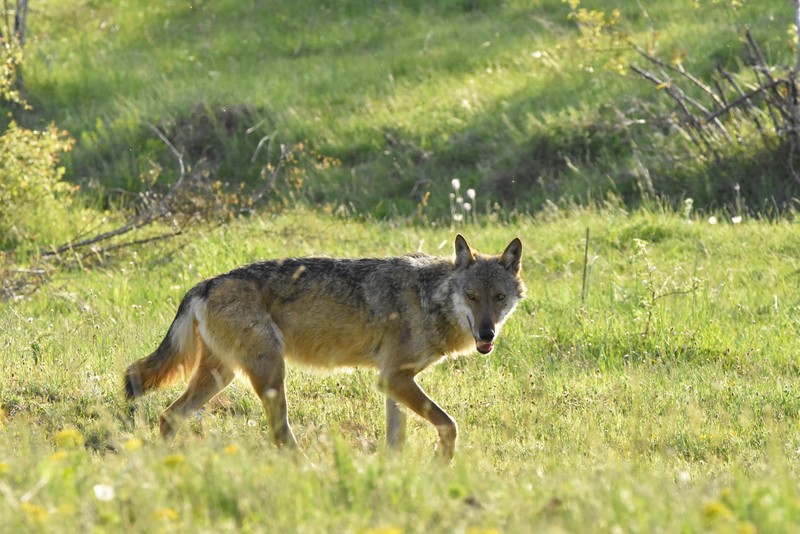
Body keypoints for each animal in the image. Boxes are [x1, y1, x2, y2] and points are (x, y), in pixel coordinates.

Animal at [125, 234, 524, 460]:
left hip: (222, 376)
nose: (487, 334)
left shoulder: (393, 381)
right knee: (279, 435)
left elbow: (397, 441)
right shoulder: (395, 378)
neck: (430, 297)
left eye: (498, 297)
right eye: (471, 296)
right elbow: (449, 425)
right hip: (270, 374)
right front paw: (440, 463)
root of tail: (207, 282)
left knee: (169, 416)